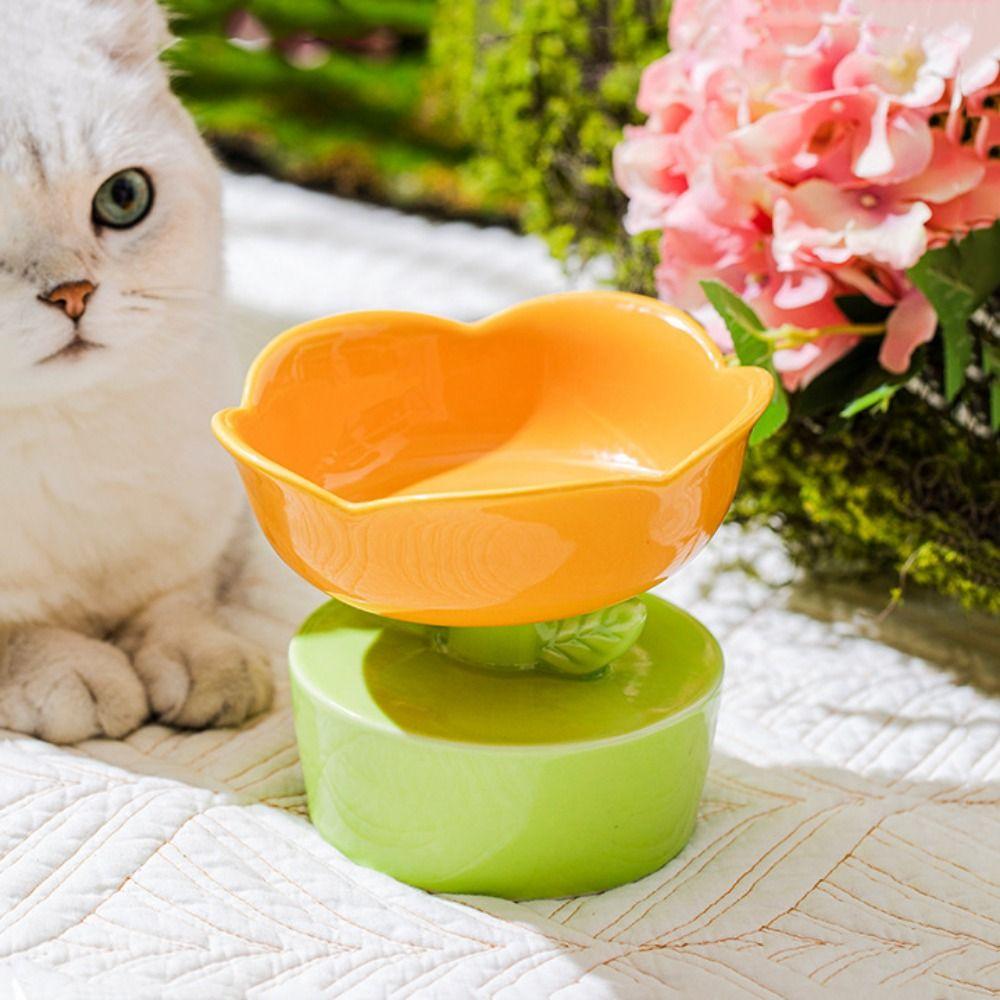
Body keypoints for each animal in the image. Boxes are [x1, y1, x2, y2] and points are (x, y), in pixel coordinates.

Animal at [0, 0, 272, 743]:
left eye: (123, 197)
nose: (72, 294)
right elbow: (17, 629)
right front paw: (74, 672)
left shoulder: (207, 537)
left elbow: (176, 600)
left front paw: (207, 661)